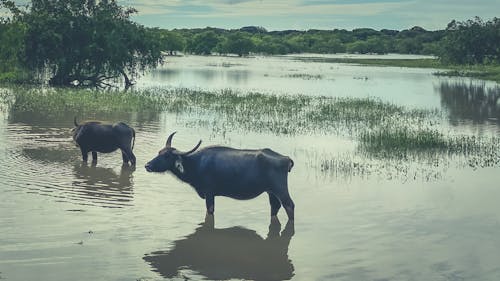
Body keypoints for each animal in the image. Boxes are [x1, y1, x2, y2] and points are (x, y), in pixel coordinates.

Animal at [145, 132, 294, 220]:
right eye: (159, 152)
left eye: (167, 156)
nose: (147, 165)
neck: (196, 164)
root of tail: (286, 158)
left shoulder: (209, 193)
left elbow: (209, 210)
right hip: (270, 192)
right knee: (275, 206)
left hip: (280, 190)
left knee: (289, 205)